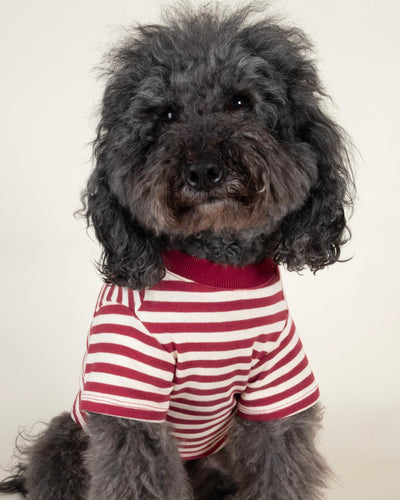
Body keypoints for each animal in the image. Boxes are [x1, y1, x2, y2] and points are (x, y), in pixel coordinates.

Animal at [0, 3, 354, 500]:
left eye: (240, 102)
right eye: (167, 115)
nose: (204, 170)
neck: (214, 272)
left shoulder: (276, 382)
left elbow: (280, 465)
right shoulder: (128, 392)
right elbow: (139, 474)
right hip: (67, 438)